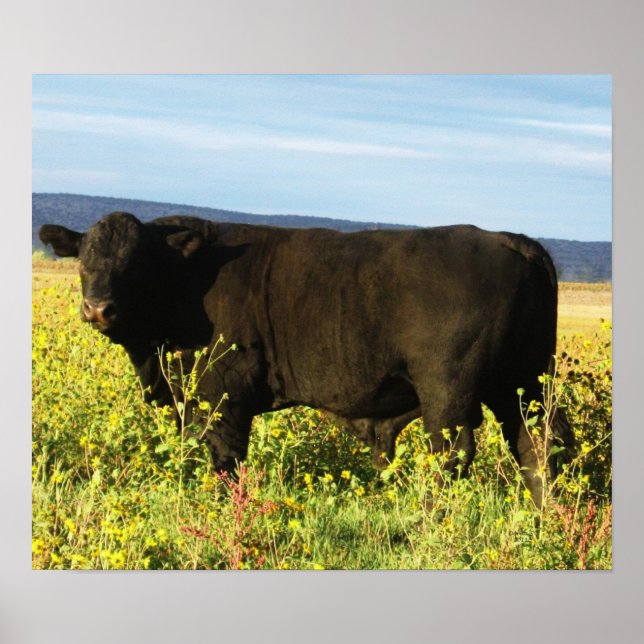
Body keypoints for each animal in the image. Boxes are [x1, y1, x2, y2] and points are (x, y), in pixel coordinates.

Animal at [39, 212, 572, 506]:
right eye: (84, 258)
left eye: (137, 263)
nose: (98, 308)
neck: (186, 274)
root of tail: (505, 239)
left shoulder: (223, 401)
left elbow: (225, 460)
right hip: (524, 384)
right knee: (540, 445)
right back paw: (549, 513)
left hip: (450, 394)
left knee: (452, 454)